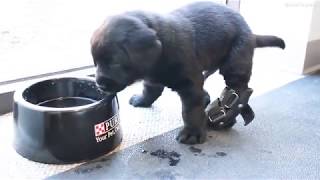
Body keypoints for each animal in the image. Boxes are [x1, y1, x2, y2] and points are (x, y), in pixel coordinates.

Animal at [90, 1, 284, 145]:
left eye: (114, 63)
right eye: (95, 63)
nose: (100, 84)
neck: (161, 50)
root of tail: (250, 32)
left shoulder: (190, 83)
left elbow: (190, 111)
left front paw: (192, 133)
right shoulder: (153, 78)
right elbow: (151, 90)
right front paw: (141, 100)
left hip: (236, 59)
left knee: (239, 88)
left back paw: (229, 110)